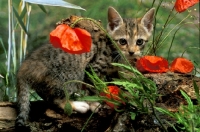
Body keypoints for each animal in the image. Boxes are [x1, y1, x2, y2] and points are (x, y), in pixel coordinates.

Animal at [15, 6, 155, 129]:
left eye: (139, 42)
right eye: (122, 41)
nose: (131, 52)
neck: (115, 52)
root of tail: (24, 68)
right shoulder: (93, 67)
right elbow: (93, 88)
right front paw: (94, 103)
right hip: (69, 74)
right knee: (55, 98)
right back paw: (77, 105)